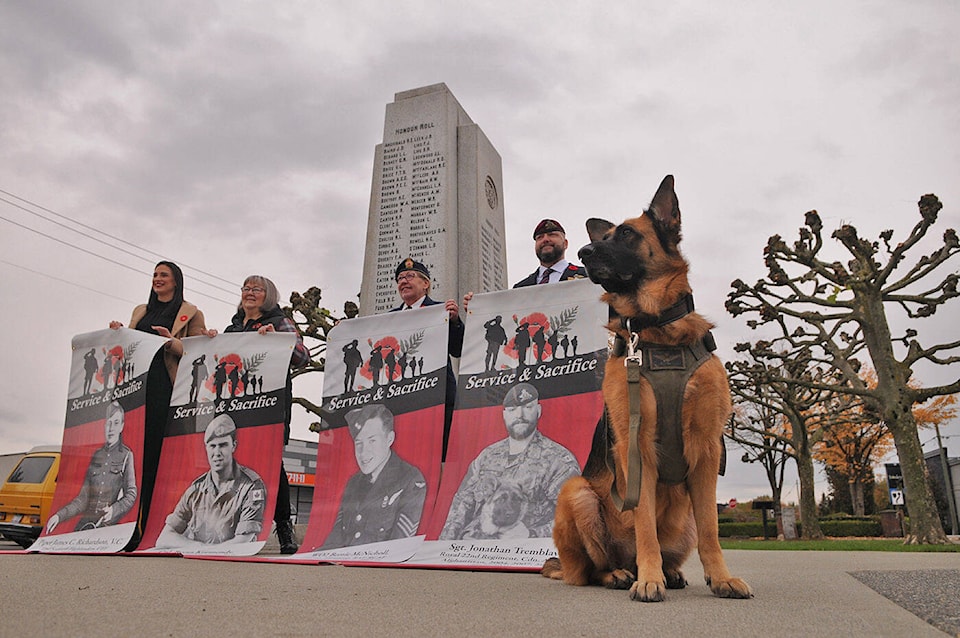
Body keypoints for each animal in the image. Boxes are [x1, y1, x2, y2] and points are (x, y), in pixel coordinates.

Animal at [540, 176, 752, 604]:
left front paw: (720, 577)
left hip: (684, 518)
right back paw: (623, 574)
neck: (657, 330)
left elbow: (712, 530)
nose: (584, 252)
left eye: (626, 234)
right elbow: (644, 527)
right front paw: (649, 580)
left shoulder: (707, 452)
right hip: (577, 492)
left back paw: (670, 572)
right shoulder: (636, 452)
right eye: (602, 237)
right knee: (590, 569)